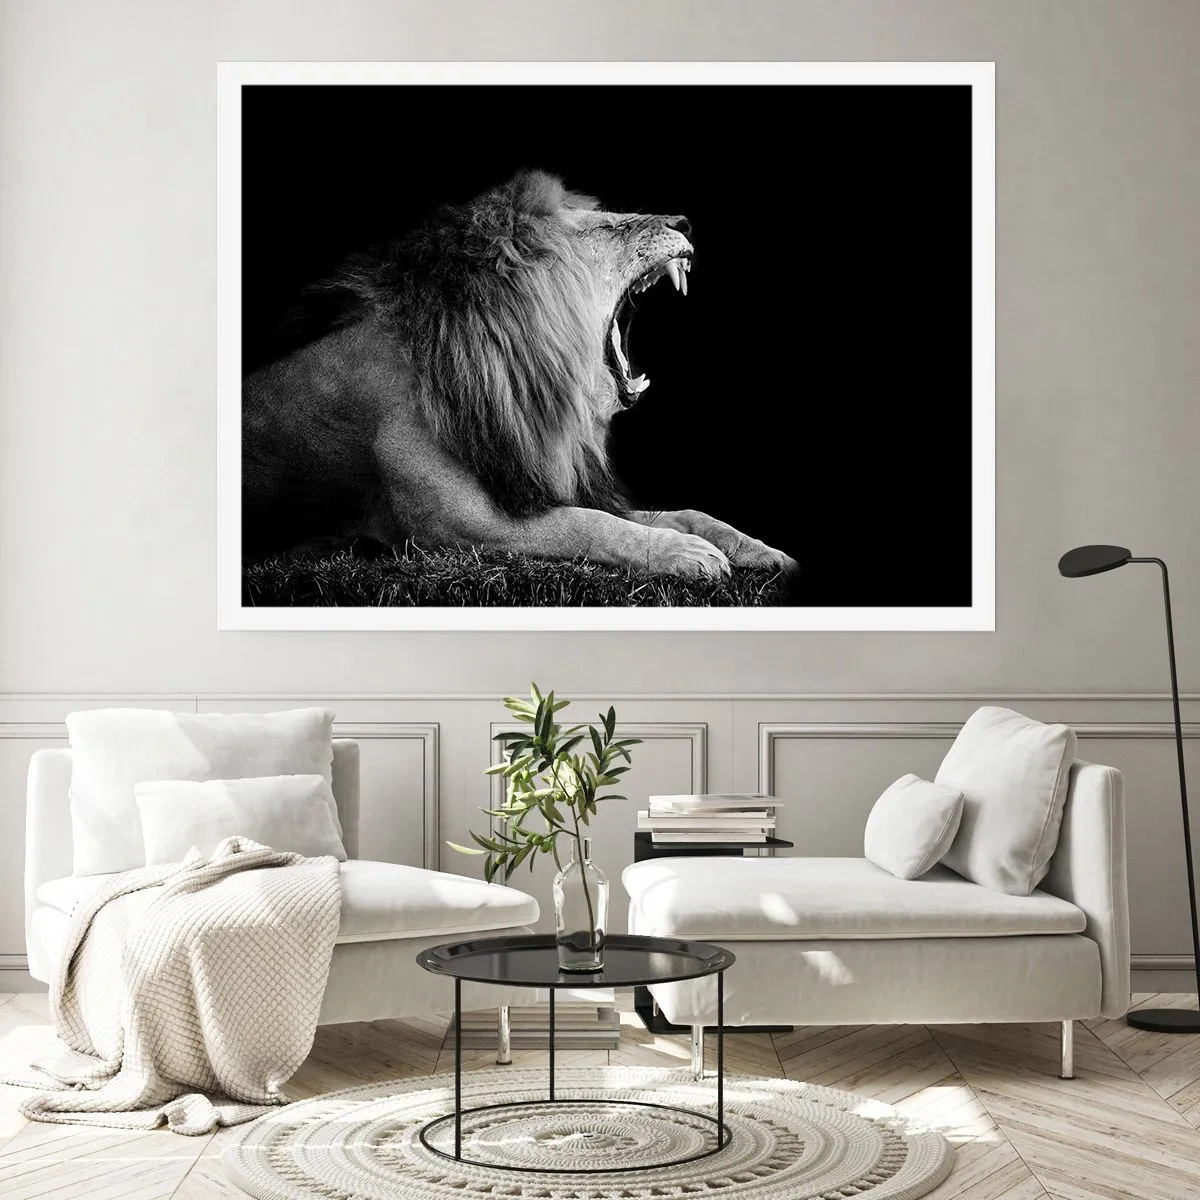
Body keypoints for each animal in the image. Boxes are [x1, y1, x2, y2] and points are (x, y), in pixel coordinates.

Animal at [242, 169, 796, 581]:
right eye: (604, 228)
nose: (685, 220)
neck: (519, 388)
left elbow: (683, 514)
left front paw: (758, 549)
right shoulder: (458, 530)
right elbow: (588, 526)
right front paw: (686, 554)